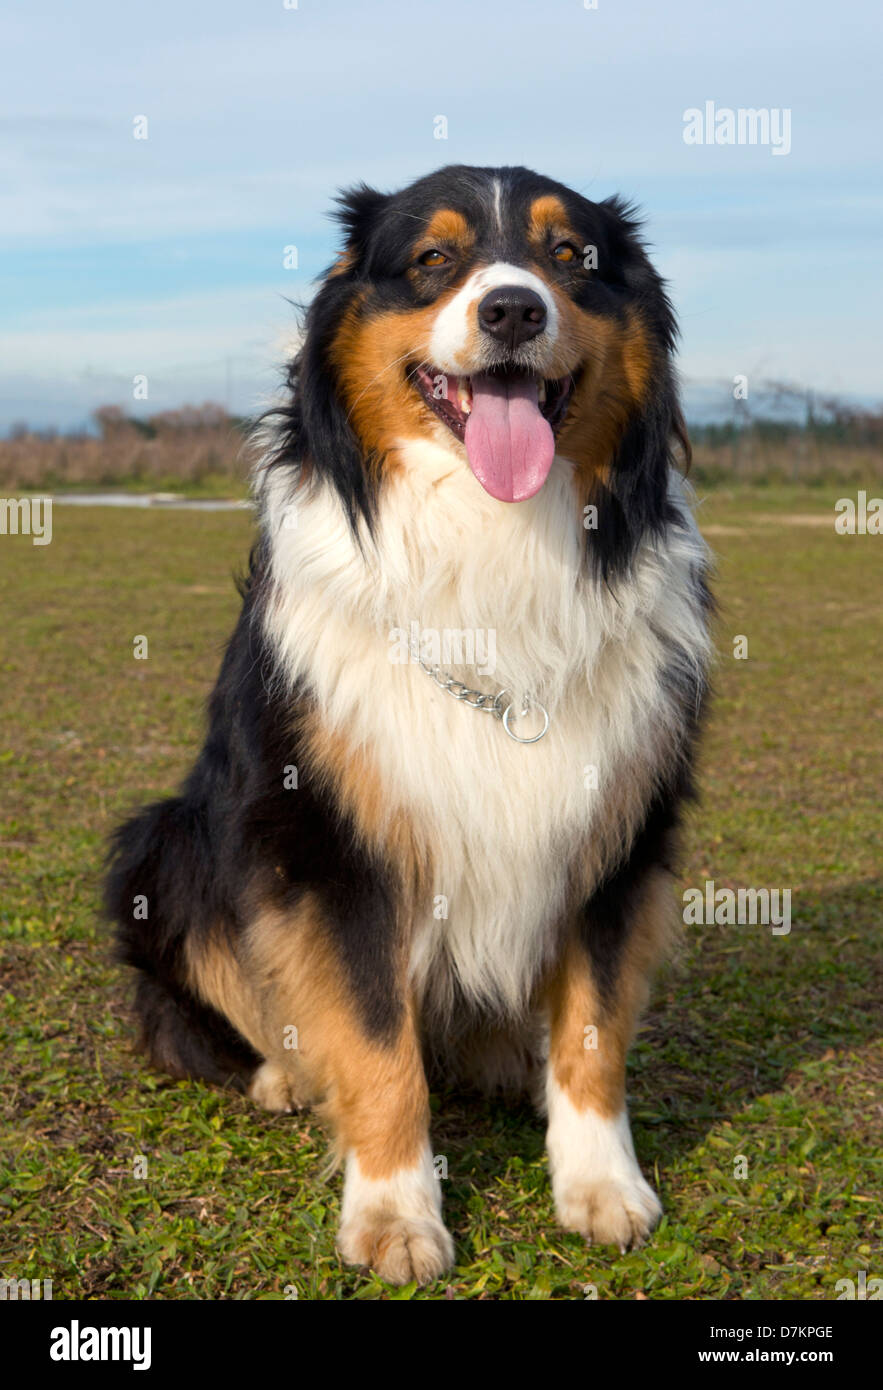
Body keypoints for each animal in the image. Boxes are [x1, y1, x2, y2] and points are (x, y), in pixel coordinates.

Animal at [105, 165, 711, 1289]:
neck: (491, 535)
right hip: (160, 842)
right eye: (432, 259)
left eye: (573, 258)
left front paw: (600, 1186)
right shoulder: (331, 844)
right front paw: (392, 1214)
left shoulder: (618, 833)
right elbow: (378, 1048)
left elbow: (594, 1032)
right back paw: (283, 1074)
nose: (512, 310)